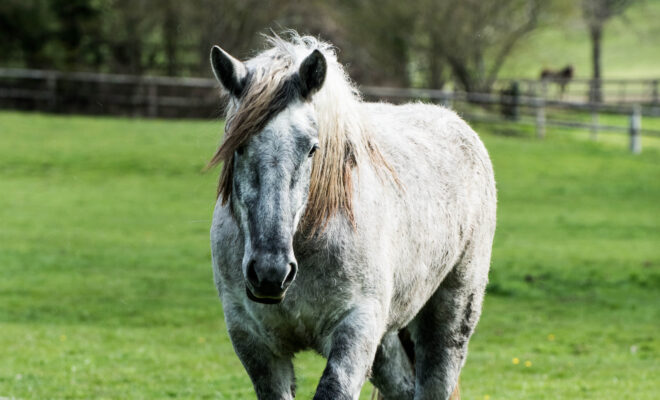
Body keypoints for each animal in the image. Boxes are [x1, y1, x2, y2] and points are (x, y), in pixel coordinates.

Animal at [208, 34, 496, 400]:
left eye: (312, 148)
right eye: (237, 145)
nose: (271, 273)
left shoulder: (356, 328)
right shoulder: (254, 342)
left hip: (450, 319)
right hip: (386, 342)